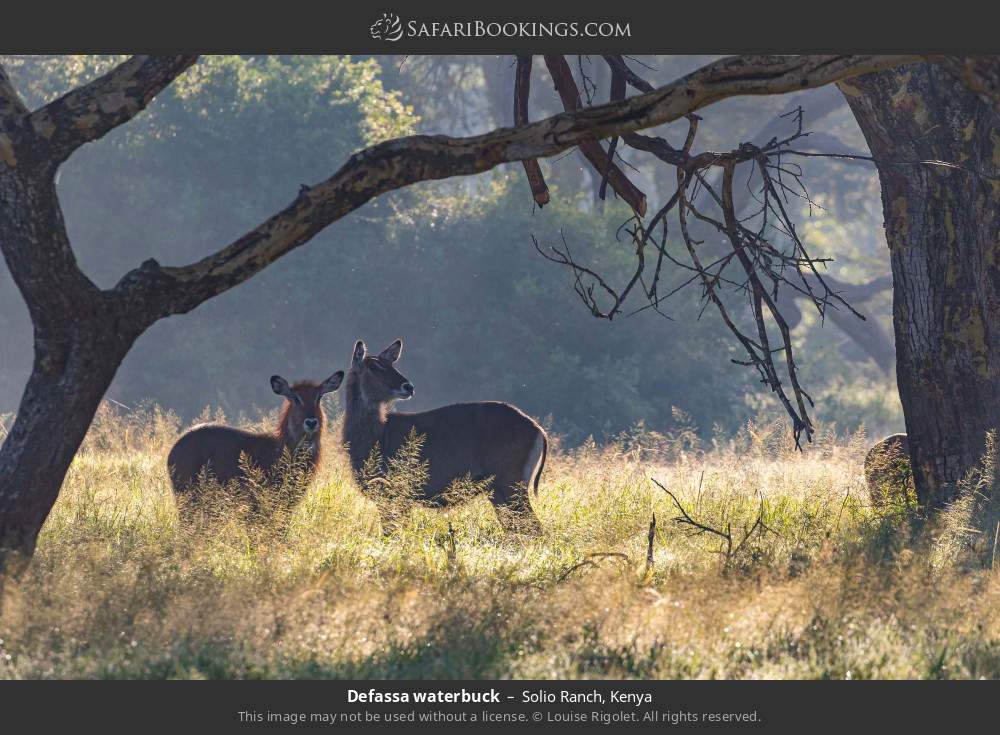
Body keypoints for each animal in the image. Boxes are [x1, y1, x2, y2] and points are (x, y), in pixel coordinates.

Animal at [344, 340, 548, 536]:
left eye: (390, 364)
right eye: (374, 366)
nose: (408, 386)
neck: (377, 435)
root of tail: (539, 430)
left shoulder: (396, 495)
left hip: (511, 485)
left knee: (534, 527)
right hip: (500, 492)